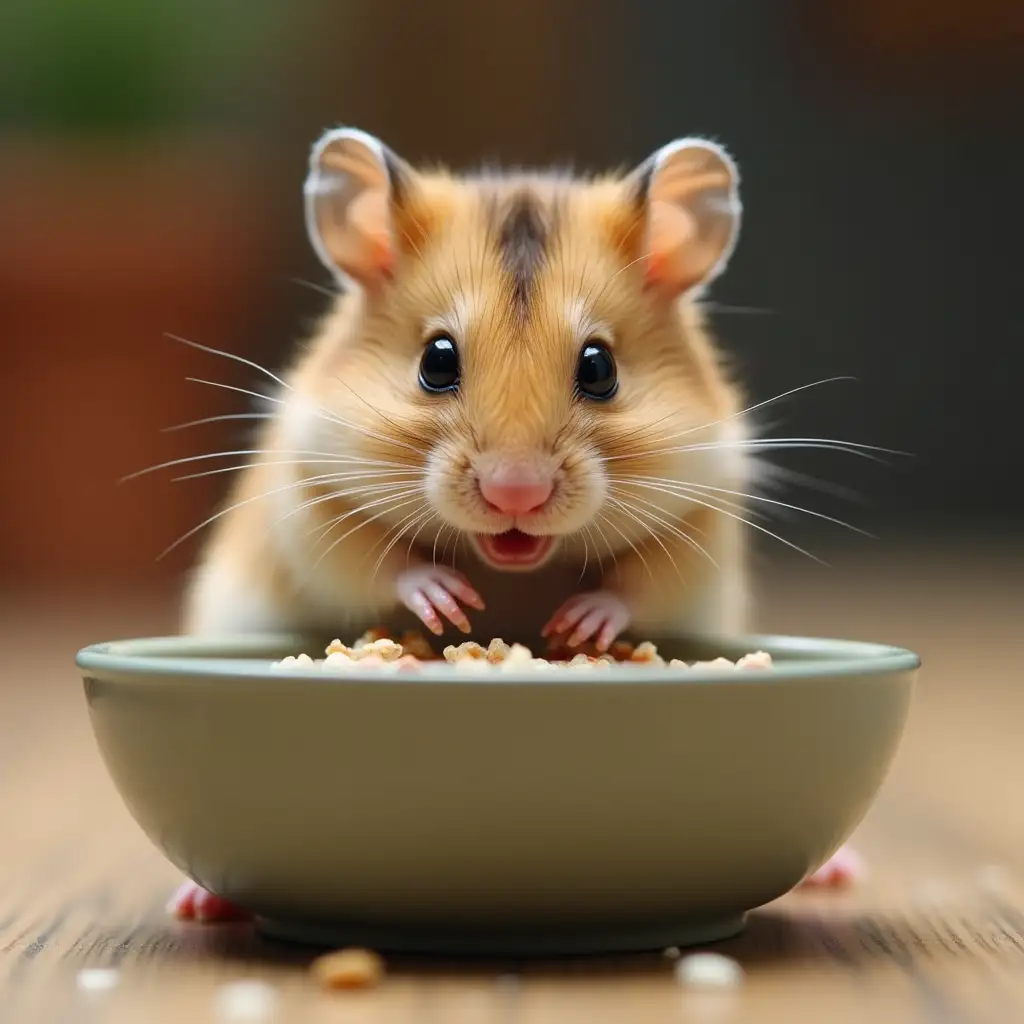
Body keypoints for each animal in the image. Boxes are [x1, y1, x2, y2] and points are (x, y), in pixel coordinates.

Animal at [172, 128, 860, 921]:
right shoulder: (308, 500)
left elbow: (640, 583)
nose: (515, 493)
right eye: (436, 360)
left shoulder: (703, 516)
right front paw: (451, 604)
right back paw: (196, 904)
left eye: (600, 367)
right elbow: (377, 564)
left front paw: (575, 624)